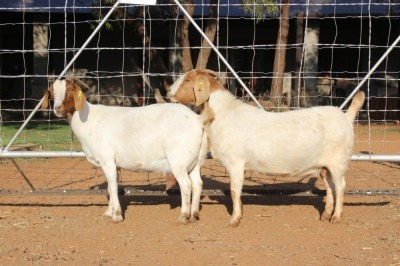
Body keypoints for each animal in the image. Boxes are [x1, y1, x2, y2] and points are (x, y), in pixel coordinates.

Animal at [42, 78, 208, 222]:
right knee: (197, 184)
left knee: (186, 185)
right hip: (194, 160)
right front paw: (108, 212)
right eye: (51, 90)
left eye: (70, 89)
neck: (89, 120)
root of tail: (197, 120)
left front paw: (116, 215)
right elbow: (111, 187)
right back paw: (194, 214)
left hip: (178, 160)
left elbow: (113, 187)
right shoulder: (115, 164)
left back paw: (183, 216)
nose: (57, 108)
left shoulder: (107, 160)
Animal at [169, 69, 366, 227]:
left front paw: (234, 219)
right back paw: (325, 215)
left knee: (340, 186)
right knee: (330, 186)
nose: (169, 90)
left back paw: (336, 217)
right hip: (326, 167)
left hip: (338, 162)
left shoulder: (235, 162)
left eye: (188, 79)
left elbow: (234, 190)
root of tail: (346, 117)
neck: (225, 113)